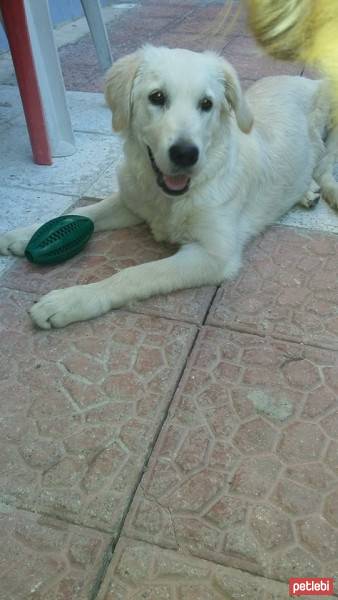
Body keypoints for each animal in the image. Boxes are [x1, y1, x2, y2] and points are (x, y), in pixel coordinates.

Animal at [0, 45, 338, 328]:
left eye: (206, 104)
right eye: (157, 97)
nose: (185, 154)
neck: (169, 197)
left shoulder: (213, 254)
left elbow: (135, 273)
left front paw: (72, 300)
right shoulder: (130, 200)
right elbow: (87, 212)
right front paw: (24, 233)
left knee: (325, 167)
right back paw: (306, 190)